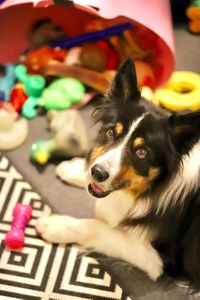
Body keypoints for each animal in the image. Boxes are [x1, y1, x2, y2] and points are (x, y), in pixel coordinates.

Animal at [36, 58, 200, 290]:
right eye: (111, 132)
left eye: (141, 152)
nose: (98, 173)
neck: (152, 188)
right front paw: (74, 168)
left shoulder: (158, 259)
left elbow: (97, 227)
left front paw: (56, 225)